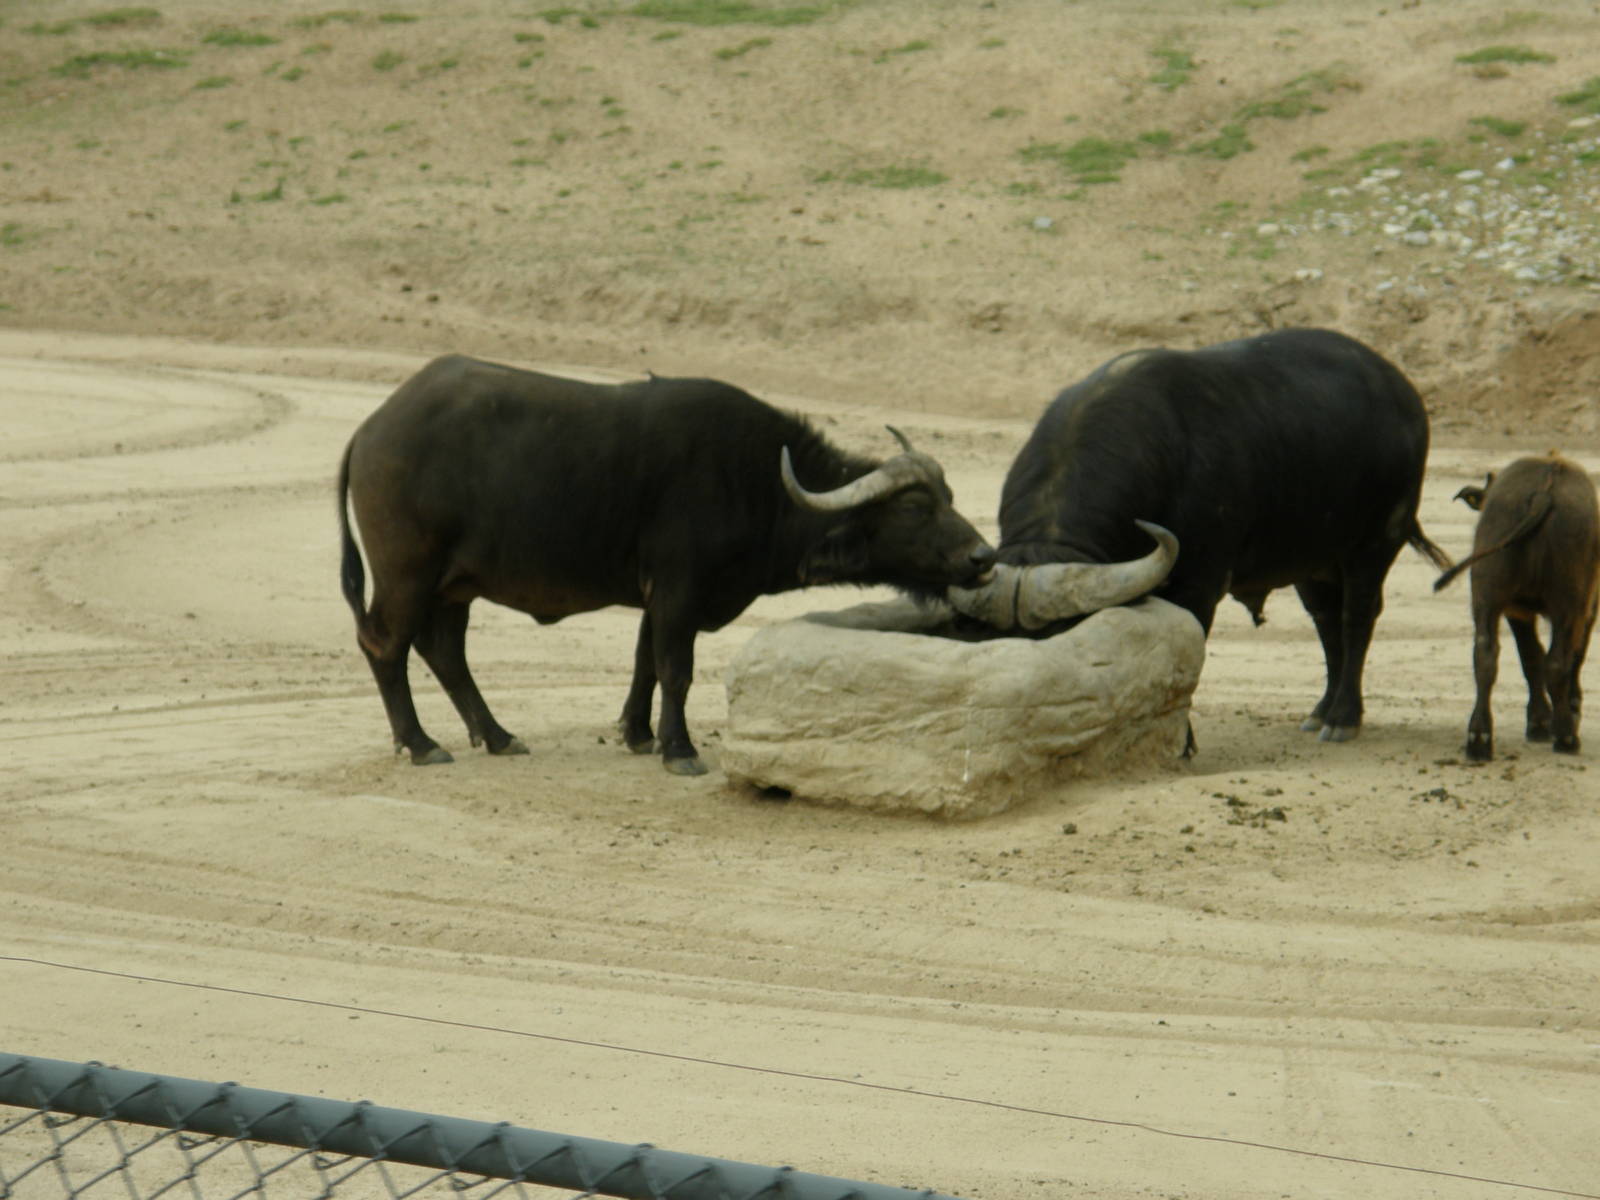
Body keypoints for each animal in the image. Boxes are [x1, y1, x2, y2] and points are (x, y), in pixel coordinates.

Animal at [338, 355, 995, 776]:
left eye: (950, 496)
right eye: (914, 507)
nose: (983, 556)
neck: (756, 482)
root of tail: (371, 429)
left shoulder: (657, 597)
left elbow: (644, 664)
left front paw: (638, 734)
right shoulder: (681, 589)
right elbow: (676, 668)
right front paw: (679, 750)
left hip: (456, 585)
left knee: (444, 650)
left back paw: (497, 736)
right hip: (407, 574)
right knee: (385, 646)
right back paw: (420, 743)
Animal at [949, 327, 1450, 743]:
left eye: (1064, 634)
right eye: (993, 638)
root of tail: (1402, 392)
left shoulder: (1200, 584)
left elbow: (1187, 654)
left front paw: (1182, 740)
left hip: (1376, 543)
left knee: (1356, 618)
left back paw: (1343, 717)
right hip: (1313, 560)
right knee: (1327, 621)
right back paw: (1321, 711)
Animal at [1434, 453, 1600, 760]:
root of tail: (1544, 489)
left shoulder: (1516, 611)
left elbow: (1530, 657)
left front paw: (1538, 722)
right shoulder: (1588, 607)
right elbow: (1570, 656)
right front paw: (1565, 712)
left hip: (1487, 593)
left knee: (1485, 654)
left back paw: (1479, 738)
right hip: (1569, 602)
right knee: (1557, 661)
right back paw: (1566, 736)